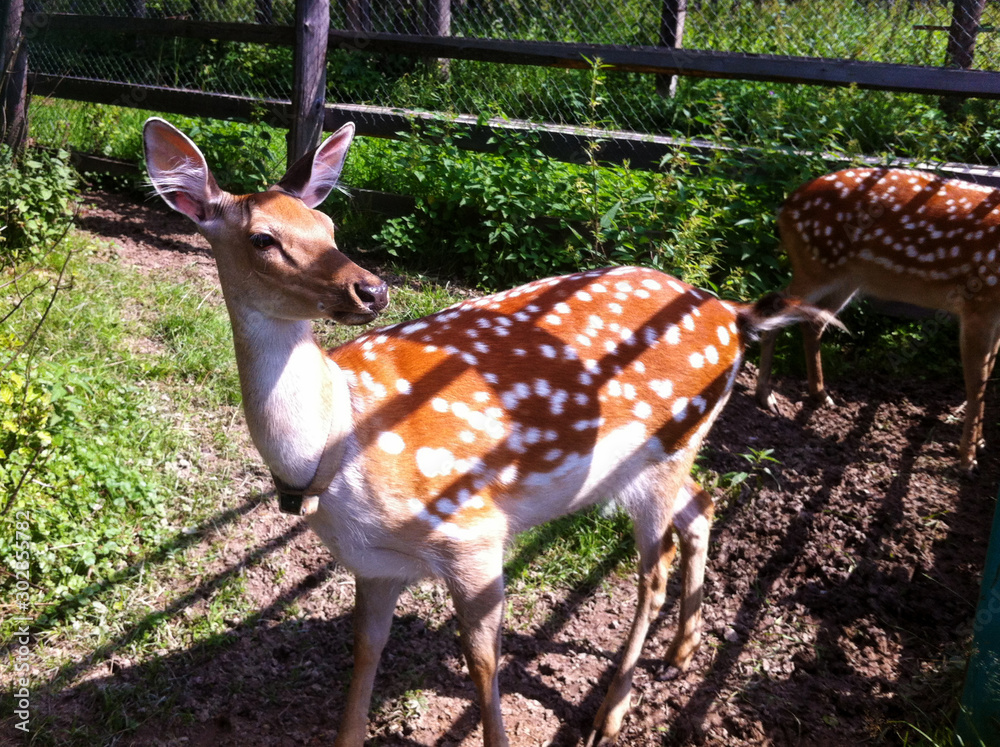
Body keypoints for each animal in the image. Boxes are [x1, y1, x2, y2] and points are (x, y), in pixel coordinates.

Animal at [144, 116, 832, 746]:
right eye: (263, 238)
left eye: (330, 226)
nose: (371, 289)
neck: (335, 450)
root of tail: (731, 314)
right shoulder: (374, 563)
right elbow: (365, 651)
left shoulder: (473, 533)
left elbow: (481, 662)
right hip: (667, 455)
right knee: (704, 503)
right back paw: (680, 655)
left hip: (667, 448)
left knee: (652, 574)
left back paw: (610, 715)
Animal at [755, 167, 1000, 471]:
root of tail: (785, 206)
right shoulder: (977, 303)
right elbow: (976, 382)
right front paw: (967, 459)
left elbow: (987, 372)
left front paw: (980, 444)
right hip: (815, 267)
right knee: (775, 305)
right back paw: (766, 396)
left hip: (847, 278)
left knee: (813, 322)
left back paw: (821, 394)